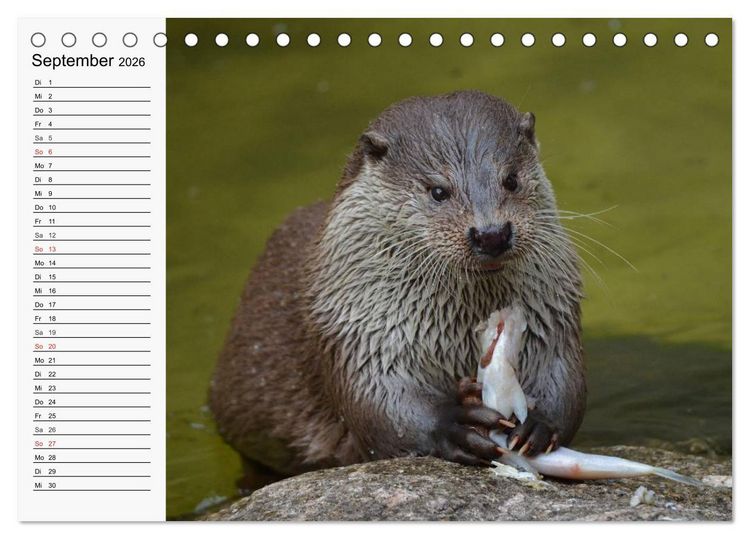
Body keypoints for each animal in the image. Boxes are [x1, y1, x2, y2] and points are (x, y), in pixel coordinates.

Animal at [210, 90, 585, 475]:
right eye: (438, 191)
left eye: (510, 179)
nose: (491, 234)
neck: (457, 330)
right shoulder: (356, 330)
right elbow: (380, 405)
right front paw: (453, 422)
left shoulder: (551, 314)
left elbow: (564, 378)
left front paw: (541, 424)